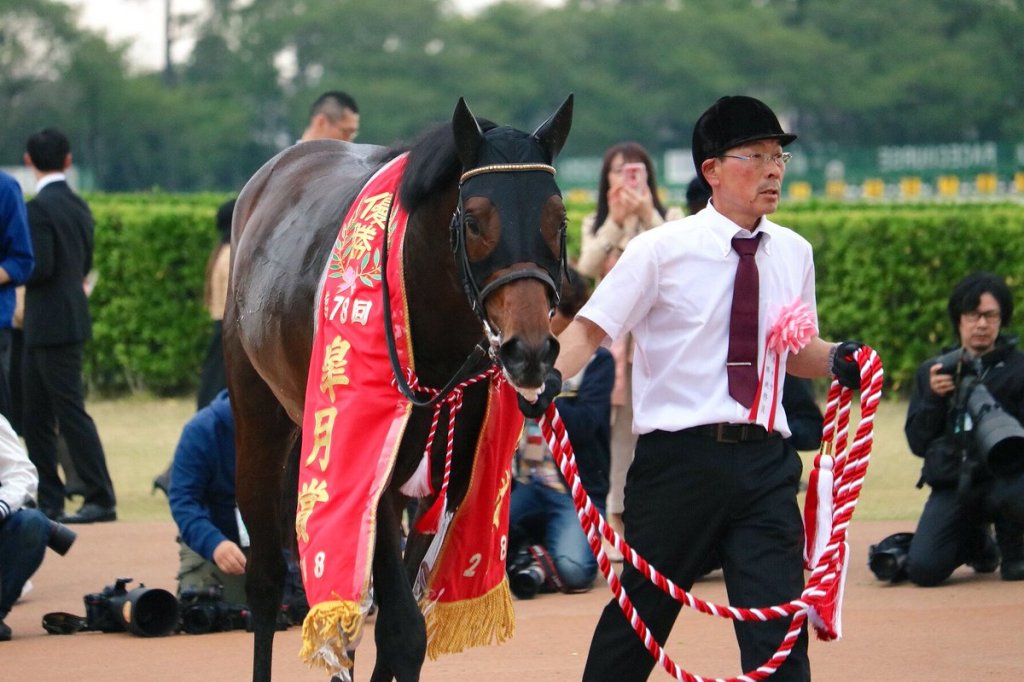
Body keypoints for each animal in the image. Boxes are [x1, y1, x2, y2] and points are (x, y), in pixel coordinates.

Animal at [226, 96, 577, 679]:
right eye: (475, 219)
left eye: (560, 219)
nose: (529, 351)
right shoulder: (371, 455)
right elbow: (403, 627)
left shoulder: (451, 474)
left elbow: (400, 629)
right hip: (257, 413)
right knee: (266, 579)